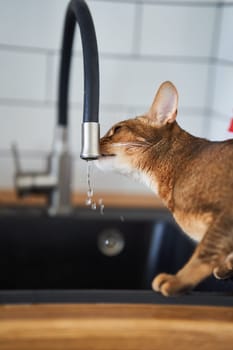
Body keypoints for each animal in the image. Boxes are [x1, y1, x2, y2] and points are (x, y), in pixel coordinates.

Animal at [96, 81, 233, 296]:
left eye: (117, 129)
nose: (92, 141)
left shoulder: (226, 212)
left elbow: (206, 251)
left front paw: (178, 281)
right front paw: (225, 267)